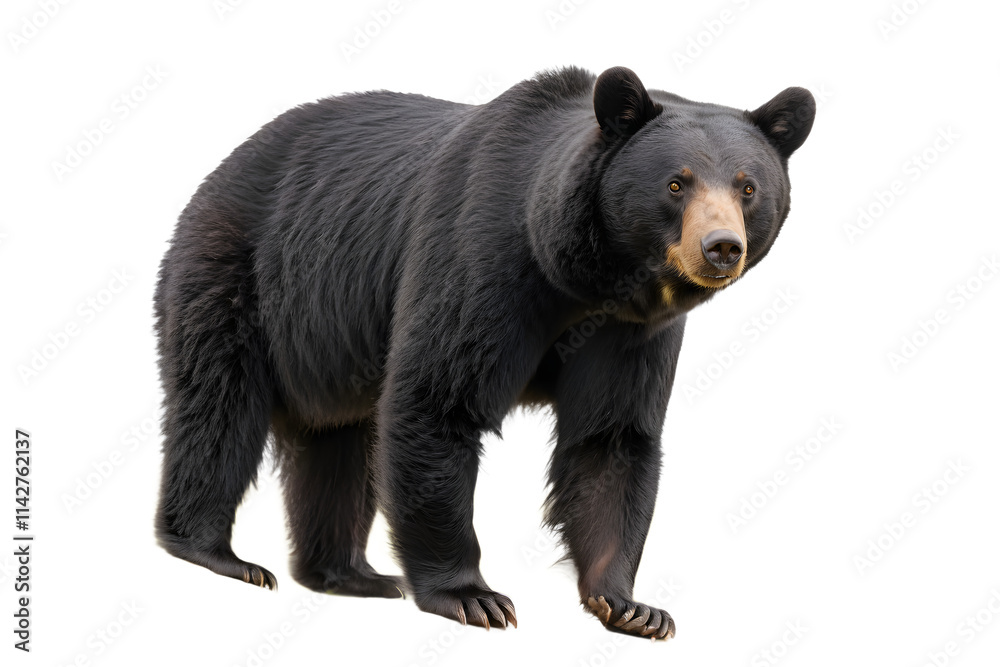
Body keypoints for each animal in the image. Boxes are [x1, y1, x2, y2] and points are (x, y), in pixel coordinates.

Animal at [153, 65, 814, 640]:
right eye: (676, 183)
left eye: (748, 187)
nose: (721, 247)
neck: (584, 277)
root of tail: (219, 169)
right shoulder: (481, 259)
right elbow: (436, 400)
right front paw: (473, 595)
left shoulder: (631, 332)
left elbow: (611, 438)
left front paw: (632, 606)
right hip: (240, 274)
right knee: (219, 407)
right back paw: (217, 553)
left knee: (337, 444)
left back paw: (350, 574)